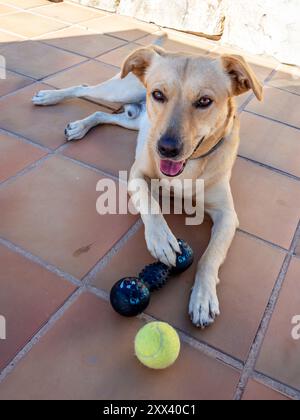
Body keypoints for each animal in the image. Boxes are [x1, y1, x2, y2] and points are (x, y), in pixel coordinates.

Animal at [32, 36, 262, 328]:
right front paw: (161, 240)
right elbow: (150, 205)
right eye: (158, 95)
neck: (188, 167)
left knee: (104, 115)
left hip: (135, 122)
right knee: (83, 88)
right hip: (120, 93)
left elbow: (211, 257)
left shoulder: (228, 216)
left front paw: (203, 297)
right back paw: (49, 98)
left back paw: (80, 126)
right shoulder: (136, 175)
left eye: (204, 101)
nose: (166, 149)